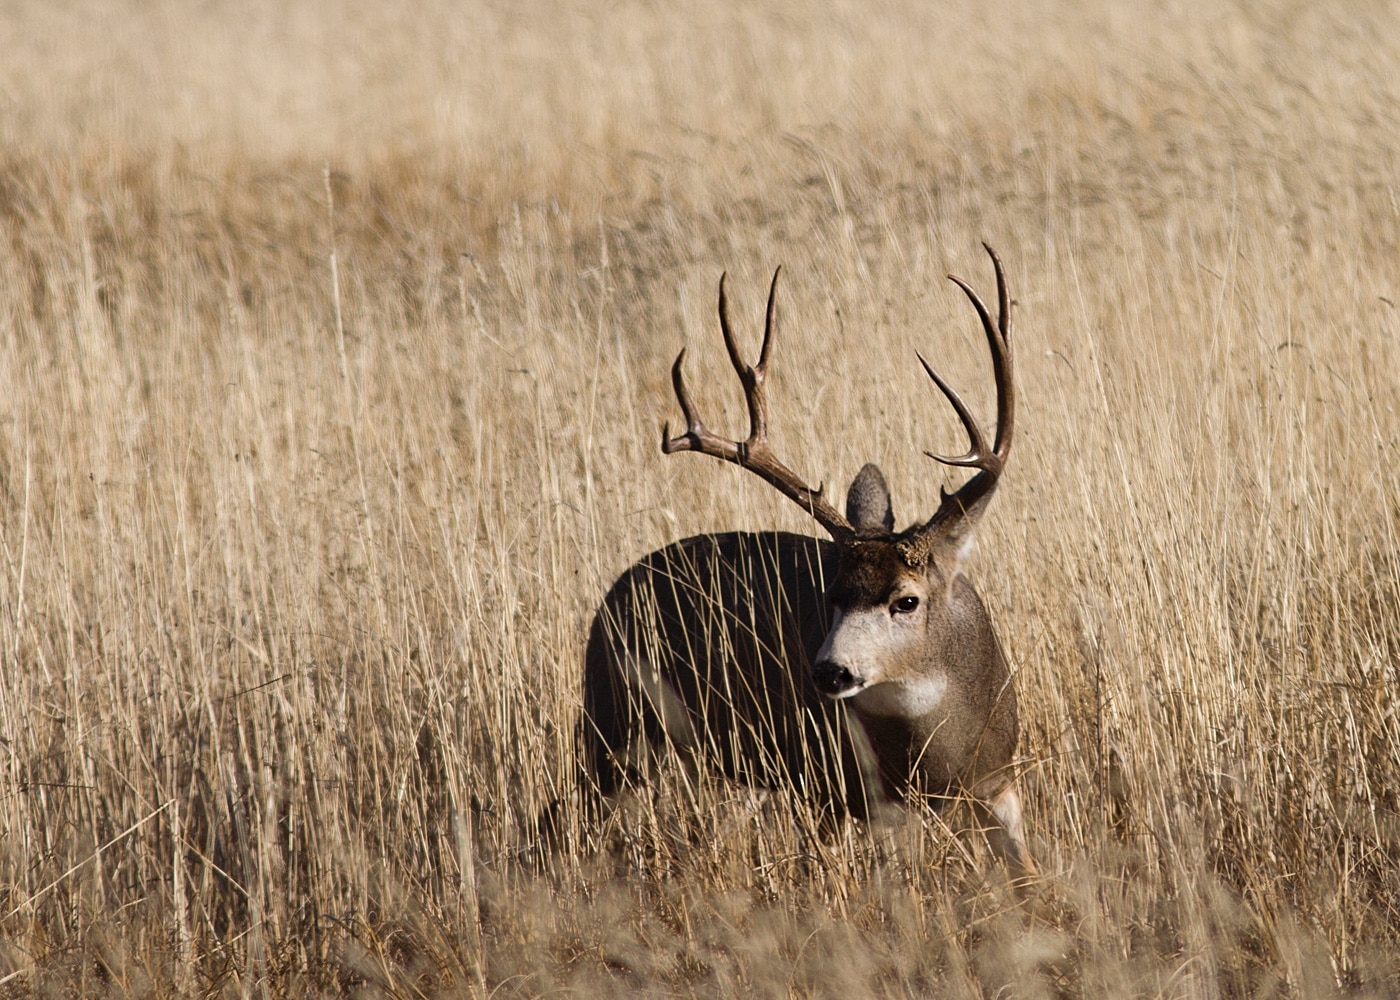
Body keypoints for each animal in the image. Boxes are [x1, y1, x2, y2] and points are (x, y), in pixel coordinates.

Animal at [574, 243, 1036, 873]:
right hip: (613, 722)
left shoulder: (1000, 780)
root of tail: (616, 589)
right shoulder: (839, 791)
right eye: (832, 594)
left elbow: (1030, 877)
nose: (829, 671)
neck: (937, 757)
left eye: (906, 600)